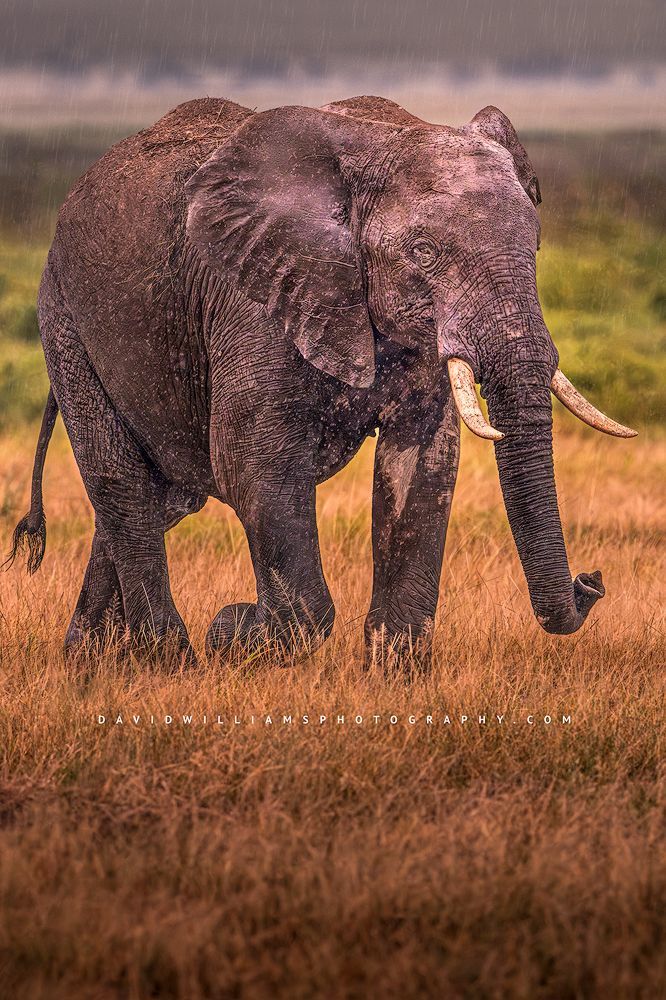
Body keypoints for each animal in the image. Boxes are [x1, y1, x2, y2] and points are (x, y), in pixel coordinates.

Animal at [8, 94, 636, 667]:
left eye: (535, 245)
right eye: (424, 251)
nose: (592, 580)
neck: (381, 140)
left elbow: (422, 464)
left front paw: (395, 674)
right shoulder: (253, 296)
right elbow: (253, 463)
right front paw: (232, 631)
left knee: (166, 494)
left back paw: (88, 661)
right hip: (63, 317)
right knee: (124, 483)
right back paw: (169, 659)